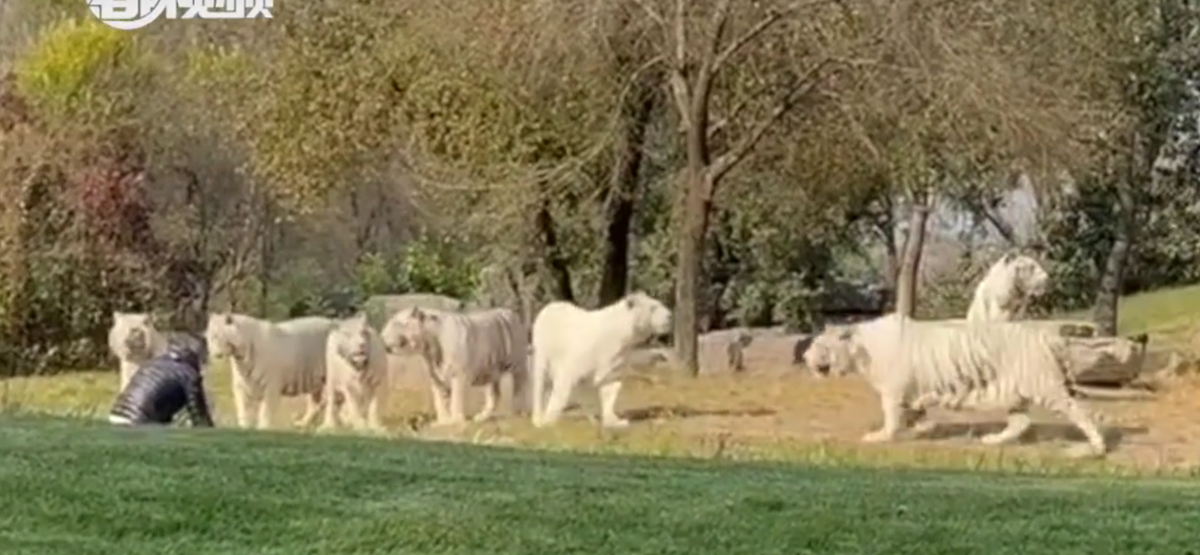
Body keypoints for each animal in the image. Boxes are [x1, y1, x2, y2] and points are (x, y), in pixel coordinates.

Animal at [205, 312, 338, 430]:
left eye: (218, 336)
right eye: (210, 338)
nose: (215, 355)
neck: (241, 358)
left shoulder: (270, 386)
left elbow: (265, 410)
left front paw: (263, 428)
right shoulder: (240, 386)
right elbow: (242, 408)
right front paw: (244, 427)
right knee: (315, 402)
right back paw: (301, 424)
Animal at [381, 305, 528, 427]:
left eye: (397, 323)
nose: (381, 335)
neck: (429, 348)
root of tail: (510, 312)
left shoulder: (459, 375)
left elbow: (456, 399)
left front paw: (456, 421)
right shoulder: (436, 378)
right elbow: (440, 400)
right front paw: (442, 422)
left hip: (517, 364)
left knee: (520, 386)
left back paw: (518, 412)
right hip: (489, 373)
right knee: (494, 395)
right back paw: (481, 418)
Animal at [530, 290, 672, 430]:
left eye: (658, 303)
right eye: (653, 307)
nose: (669, 316)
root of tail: (550, 306)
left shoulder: (615, 357)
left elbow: (610, 385)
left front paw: (616, 421)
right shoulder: (584, 354)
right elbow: (566, 382)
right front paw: (548, 421)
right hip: (543, 344)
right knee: (540, 377)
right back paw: (538, 419)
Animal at [801, 312, 1137, 458]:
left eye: (820, 345)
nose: (804, 356)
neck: (860, 350)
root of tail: (1048, 336)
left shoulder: (893, 391)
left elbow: (892, 417)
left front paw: (880, 437)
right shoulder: (911, 391)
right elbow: (914, 412)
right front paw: (921, 428)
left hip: (1047, 388)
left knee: (1079, 412)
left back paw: (1096, 447)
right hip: (1013, 394)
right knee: (1021, 422)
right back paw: (993, 441)